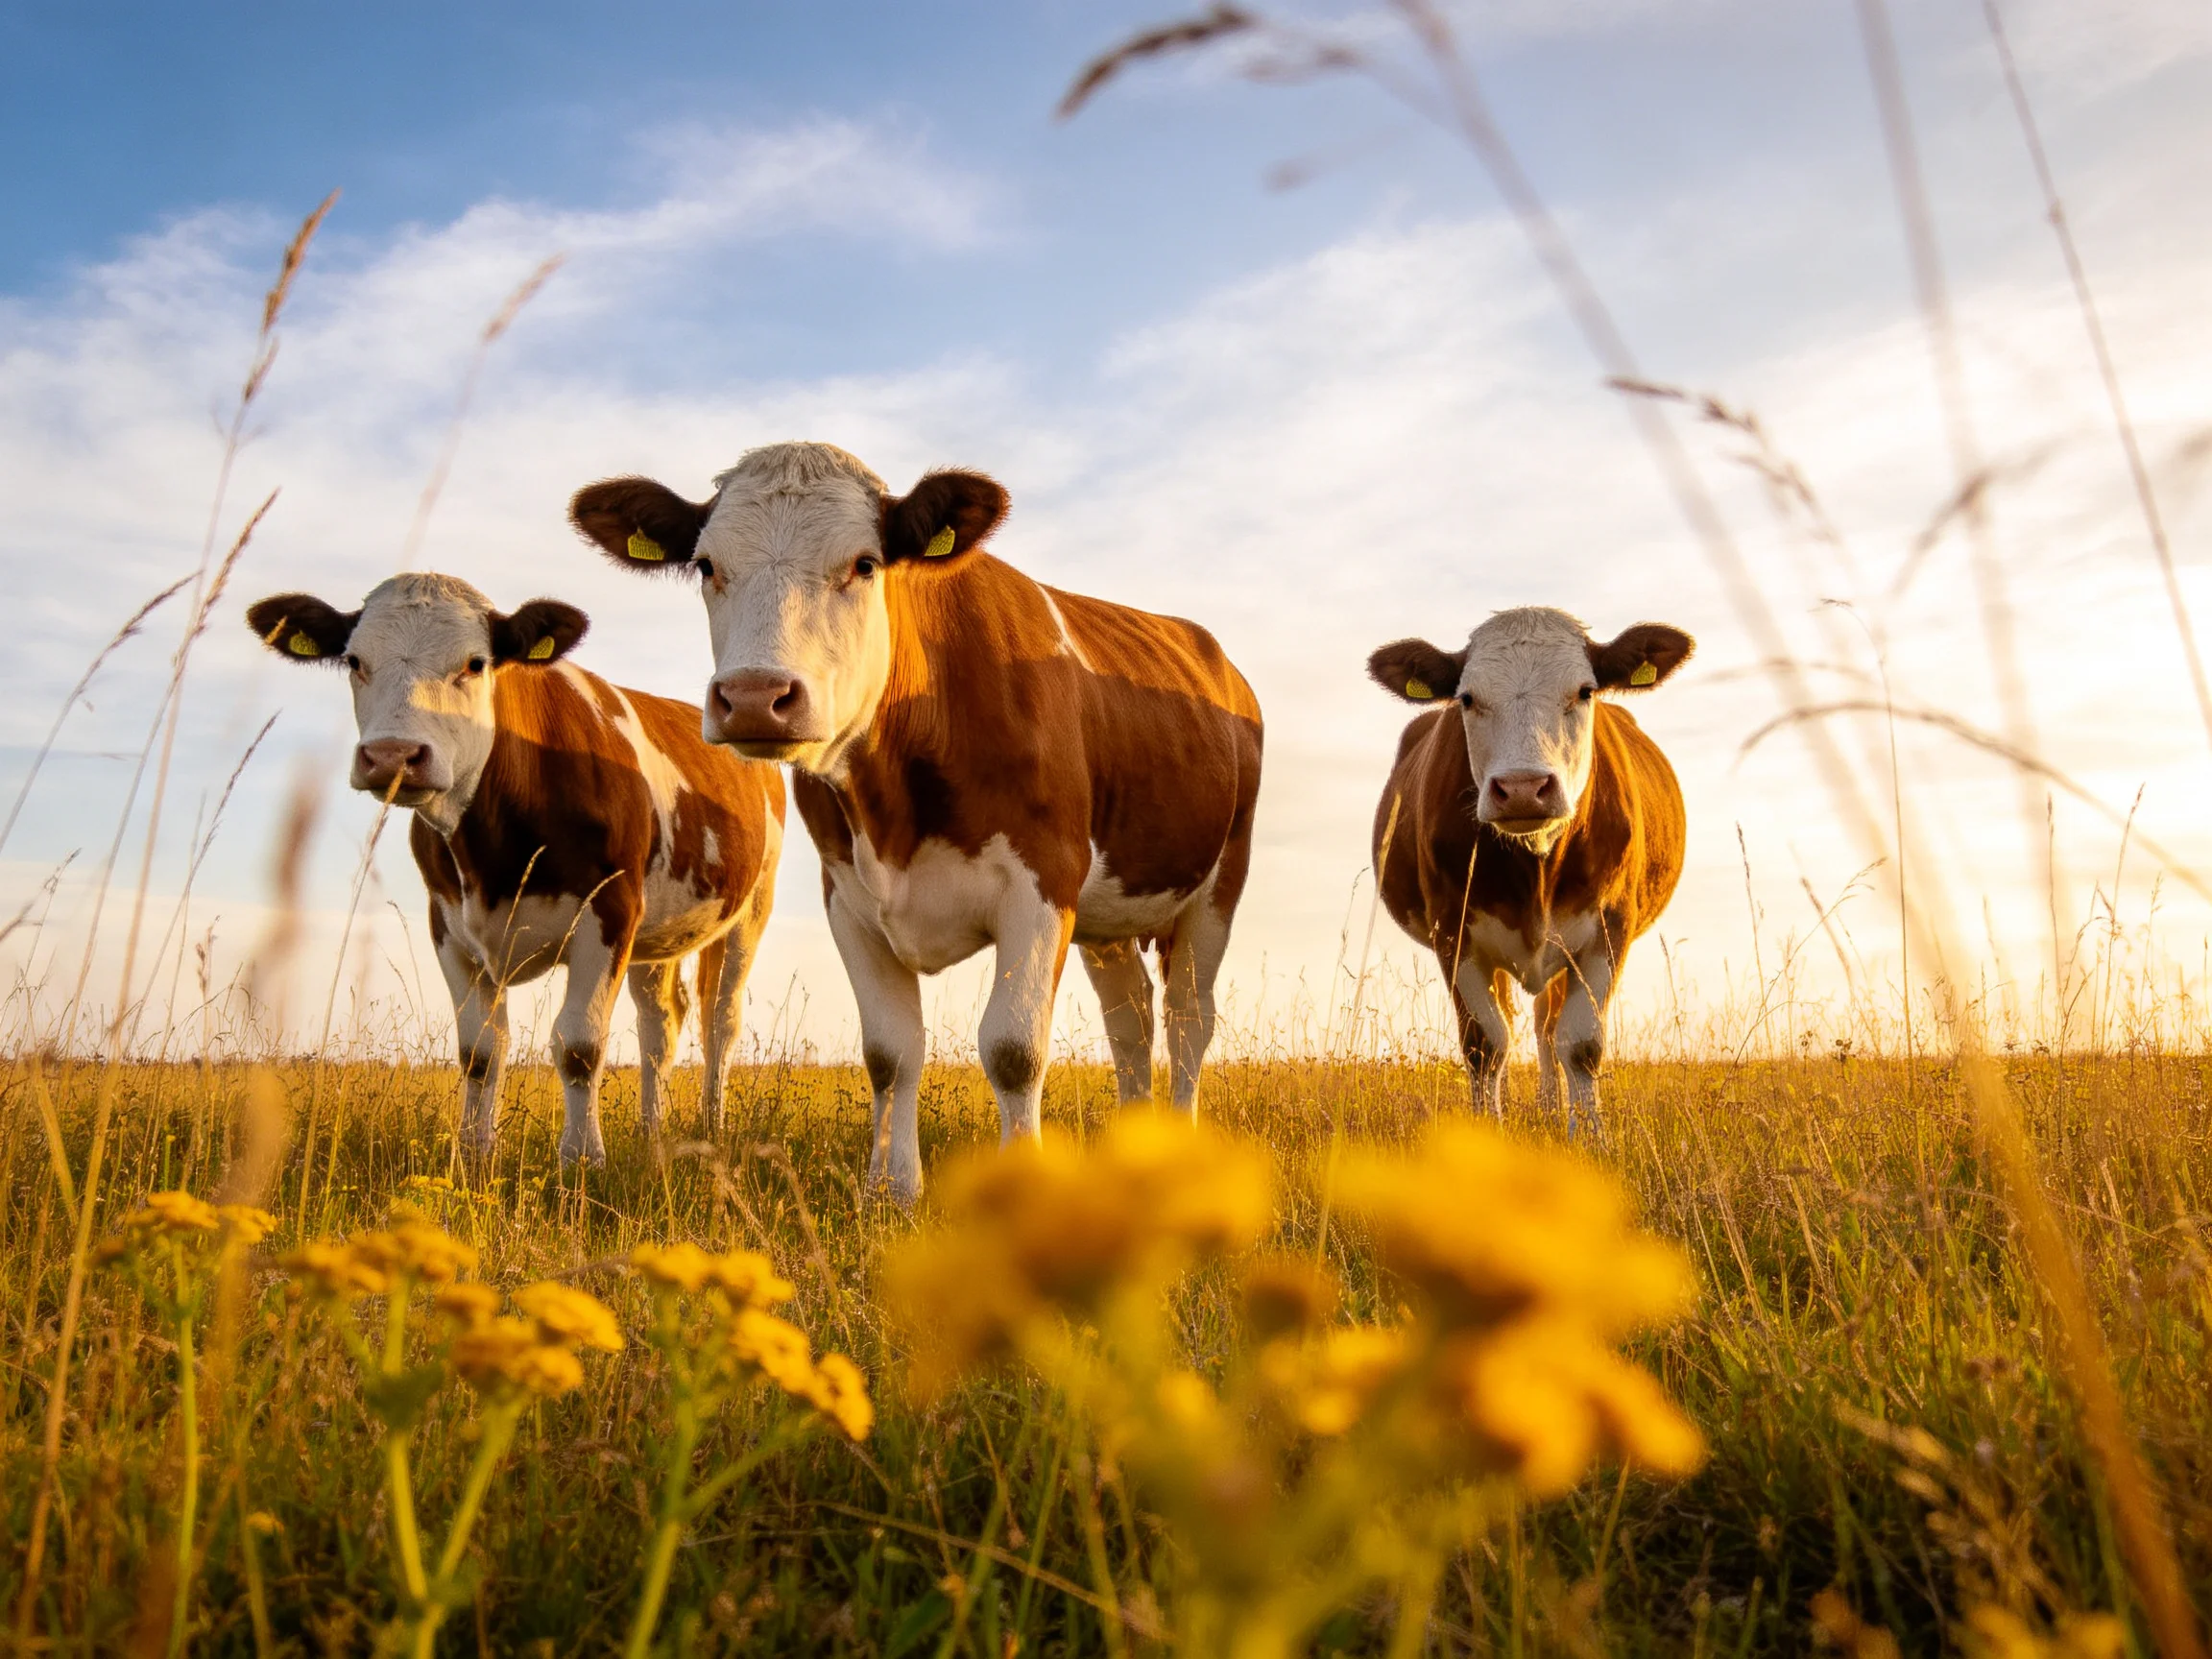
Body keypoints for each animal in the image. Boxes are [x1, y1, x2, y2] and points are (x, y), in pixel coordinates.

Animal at [244, 573, 785, 1163]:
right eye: (354, 660)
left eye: (475, 663)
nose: (392, 756)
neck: (492, 854)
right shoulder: (449, 926)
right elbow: (480, 1050)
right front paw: (475, 1151)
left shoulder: (609, 910)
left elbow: (579, 1044)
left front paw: (582, 1158)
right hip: (658, 932)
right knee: (660, 1023)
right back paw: (651, 1132)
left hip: (750, 910)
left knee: (719, 1020)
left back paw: (712, 1125)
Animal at [566, 442, 1263, 1202]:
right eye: (706, 565)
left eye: (866, 563)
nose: (754, 697)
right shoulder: (848, 899)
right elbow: (889, 1053)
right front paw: (892, 1190)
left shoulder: (1043, 881)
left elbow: (1014, 1048)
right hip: (1111, 914)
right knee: (1130, 1019)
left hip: (1219, 884)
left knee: (1188, 1017)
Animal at [1365, 607, 1692, 1131]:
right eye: (1467, 698)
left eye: (1585, 691)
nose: (1522, 787)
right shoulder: (1453, 930)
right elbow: (1485, 1043)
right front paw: (1486, 1133)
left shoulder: (1608, 929)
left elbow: (1581, 1043)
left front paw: (1589, 1136)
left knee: (1547, 1026)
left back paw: (1552, 1105)